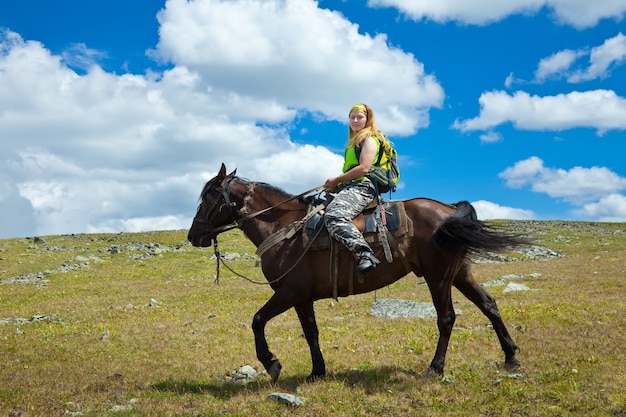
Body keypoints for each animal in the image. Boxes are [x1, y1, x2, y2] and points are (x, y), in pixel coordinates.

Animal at [188, 163, 528, 384]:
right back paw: (510, 357)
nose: (193, 236)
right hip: (460, 274)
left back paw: (435, 368)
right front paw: (317, 372)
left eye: (208, 198)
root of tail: (449, 208)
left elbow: (258, 320)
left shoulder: (289, 293)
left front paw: (272, 363)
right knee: (489, 304)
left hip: (439, 276)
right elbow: (311, 333)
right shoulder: (302, 298)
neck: (283, 229)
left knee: (446, 319)